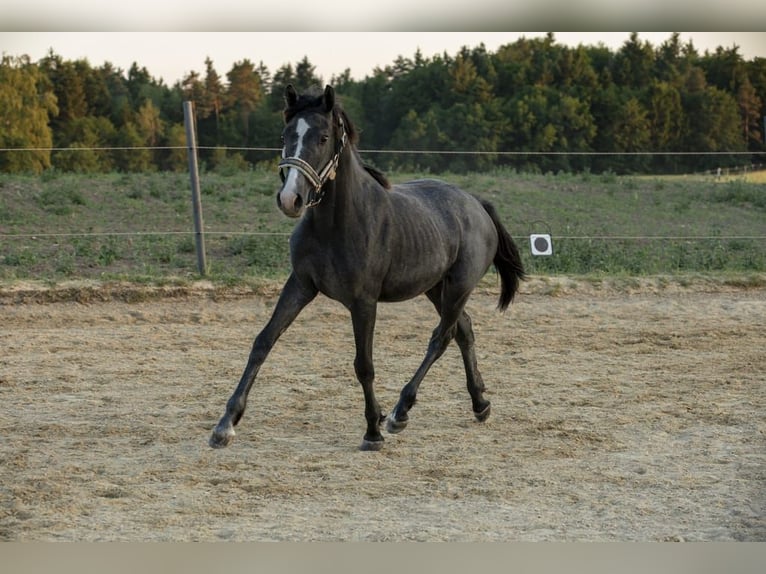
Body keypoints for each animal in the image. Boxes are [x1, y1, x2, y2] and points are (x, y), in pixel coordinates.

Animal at [209, 84, 525, 451]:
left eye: (322, 137)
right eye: (286, 135)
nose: (290, 199)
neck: (336, 224)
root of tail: (477, 204)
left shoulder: (363, 301)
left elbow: (364, 364)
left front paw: (373, 431)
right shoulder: (300, 285)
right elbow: (263, 342)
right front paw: (225, 425)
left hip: (459, 286)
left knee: (441, 337)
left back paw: (400, 412)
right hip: (436, 287)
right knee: (464, 330)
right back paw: (479, 404)